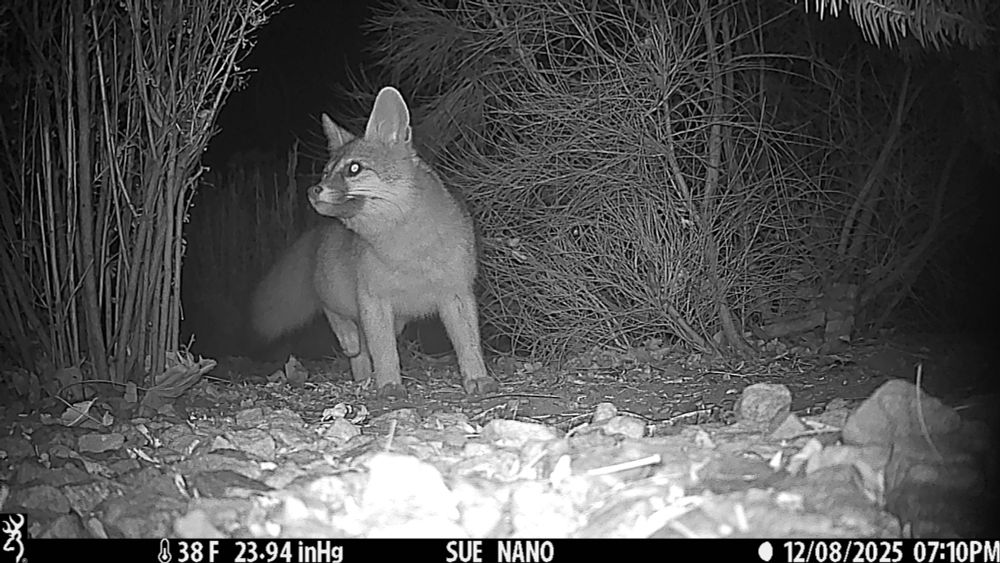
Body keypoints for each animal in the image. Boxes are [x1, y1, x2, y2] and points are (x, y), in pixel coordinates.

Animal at [251, 86, 497, 397]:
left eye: (354, 169)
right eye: (326, 172)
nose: (312, 190)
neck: (410, 255)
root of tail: (318, 231)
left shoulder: (456, 293)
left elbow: (468, 345)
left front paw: (477, 378)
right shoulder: (373, 300)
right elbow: (384, 352)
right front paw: (390, 384)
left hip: (396, 320)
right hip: (338, 297)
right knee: (342, 326)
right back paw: (352, 348)